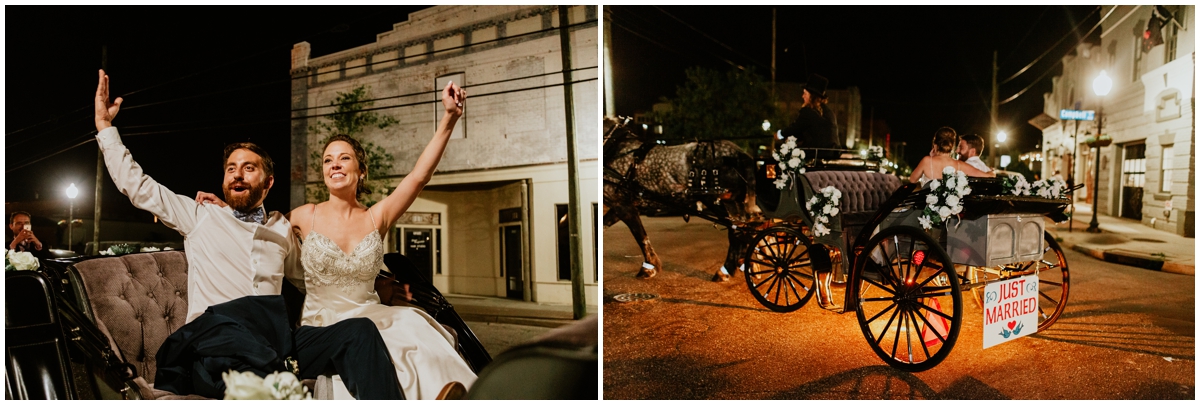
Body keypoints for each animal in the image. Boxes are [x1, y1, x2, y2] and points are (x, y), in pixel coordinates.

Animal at [600, 116, 758, 281]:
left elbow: (641, 236)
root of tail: (740, 153)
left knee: (736, 233)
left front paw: (649, 267)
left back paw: (725, 271)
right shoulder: (620, 207)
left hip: (719, 202)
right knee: (743, 231)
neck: (613, 148)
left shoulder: (623, 206)